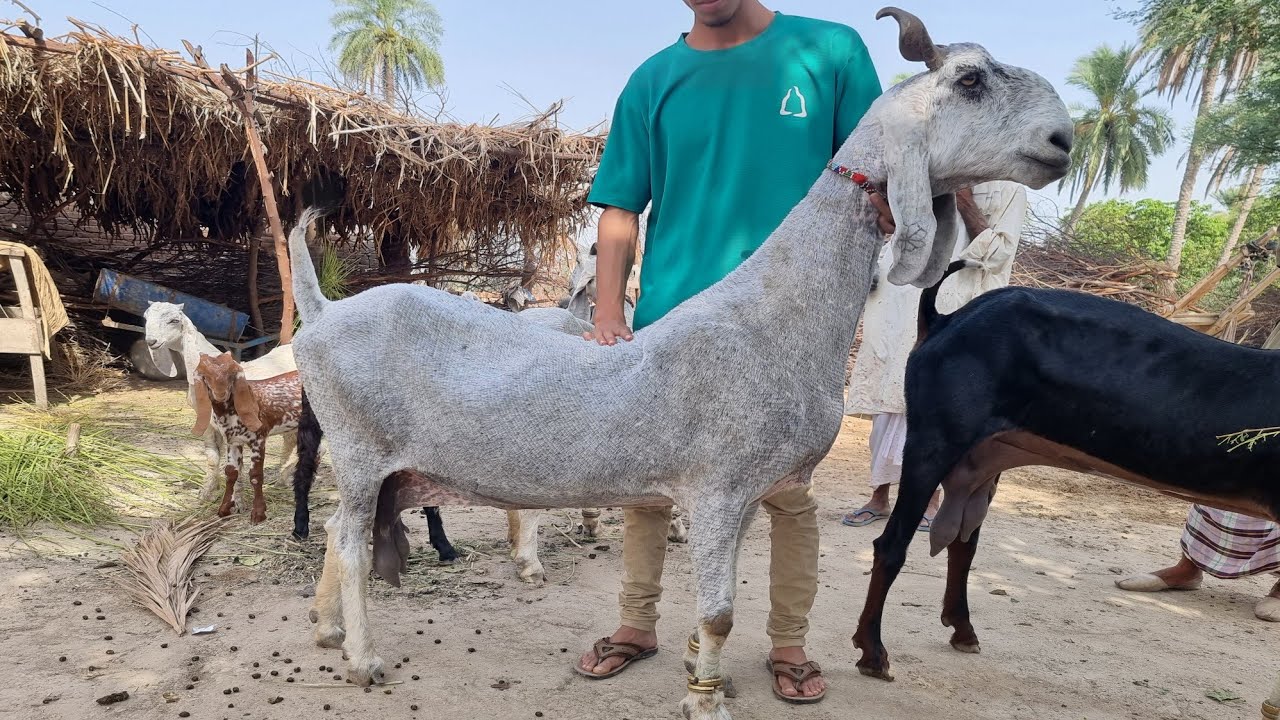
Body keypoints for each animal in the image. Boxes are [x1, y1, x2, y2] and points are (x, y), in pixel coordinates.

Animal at [144, 301, 298, 506]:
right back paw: (283, 478)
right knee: (291, 440)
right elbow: (212, 458)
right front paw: (206, 493)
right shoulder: (208, 423)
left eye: (174, 320)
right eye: (145, 317)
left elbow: (235, 464)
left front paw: (236, 501)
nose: (151, 341)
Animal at [190, 352, 303, 524]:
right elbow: (231, 473)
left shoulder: (259, 439)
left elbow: (255, 475)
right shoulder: (234, 442)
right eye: (206, 376)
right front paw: (225, 509)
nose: (221, 393)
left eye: (231, 374)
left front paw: (258, 513)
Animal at [290, 9, 1071, 718]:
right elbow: (720, 609)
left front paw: (704, 670)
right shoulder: (719, 486)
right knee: (351, 546)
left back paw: (326, 630)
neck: (772, 316)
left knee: (333, 537)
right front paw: (705, 701)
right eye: (969, 79)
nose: (1063, 141)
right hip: (359, 451)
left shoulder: (752, 491)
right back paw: (362, 658)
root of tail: (321, 314)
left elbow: (718, 601)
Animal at [851, 260, 1280, 683]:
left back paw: (962, 630)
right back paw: (873, 653)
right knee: (892, 546)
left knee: (963, 542)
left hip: (985, 461)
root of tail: (945, 320)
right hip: (935, 440)